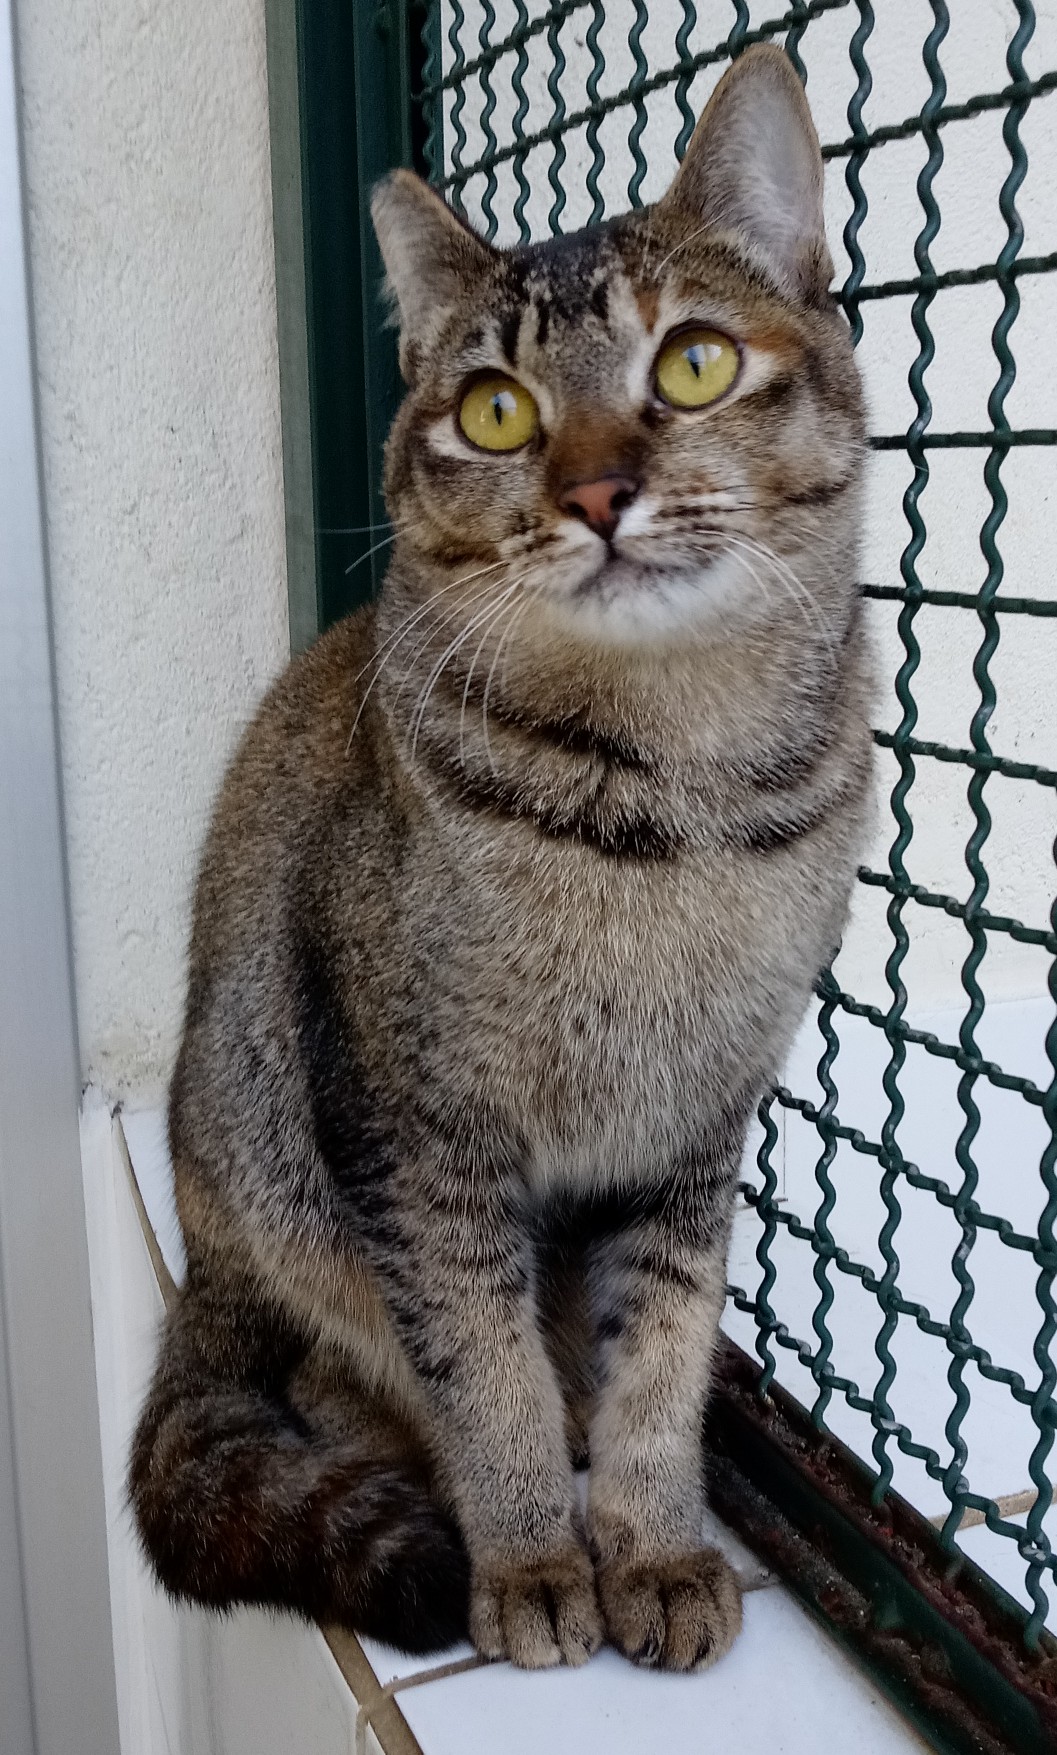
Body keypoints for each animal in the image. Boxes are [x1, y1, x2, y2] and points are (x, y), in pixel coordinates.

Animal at [129, 48, 870, 1670]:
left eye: (693, 364)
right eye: (491, 407)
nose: (592, 492)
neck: (671, 804)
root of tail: (204, 1268)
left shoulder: (694, 1124)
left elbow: (664, 1342)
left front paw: (651, 1537)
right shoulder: (414, 1134)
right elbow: (482, 1365)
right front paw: (532, 1553)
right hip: (282, 1171)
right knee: (343, 1382)